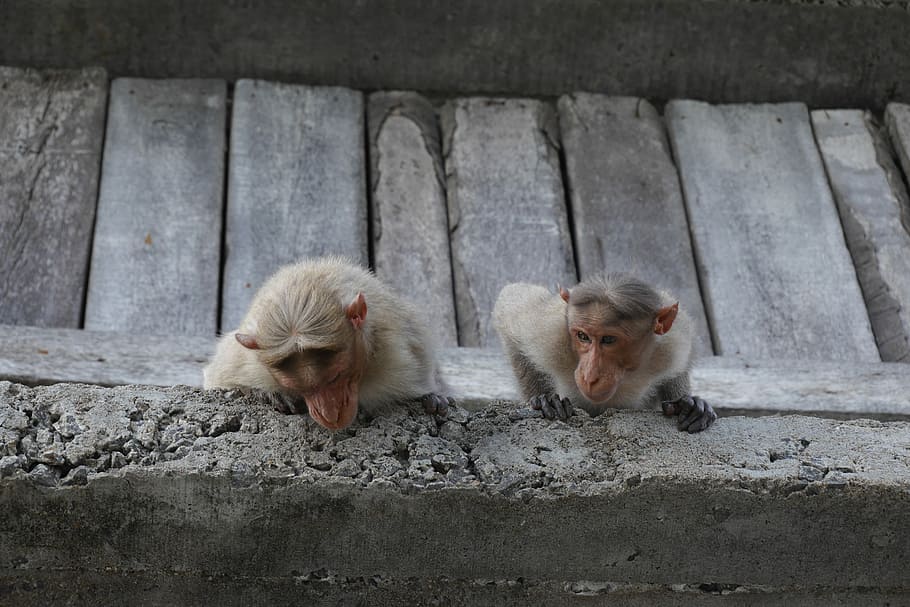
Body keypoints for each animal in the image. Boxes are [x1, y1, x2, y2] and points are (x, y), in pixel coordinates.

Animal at [203, 256, 452, 431]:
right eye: (301, 389)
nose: (330, 415)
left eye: (335, 378)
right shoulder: (246, 362)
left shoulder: (400, 350)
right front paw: (265, 393)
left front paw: (431, 396)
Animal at [492, 273, 716, 433]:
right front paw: (545, 400)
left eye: (609, 339)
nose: (590, 376)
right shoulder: (547, 330)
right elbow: (509, 304)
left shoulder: (674, 340)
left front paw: (689, 404)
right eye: (582, 336)